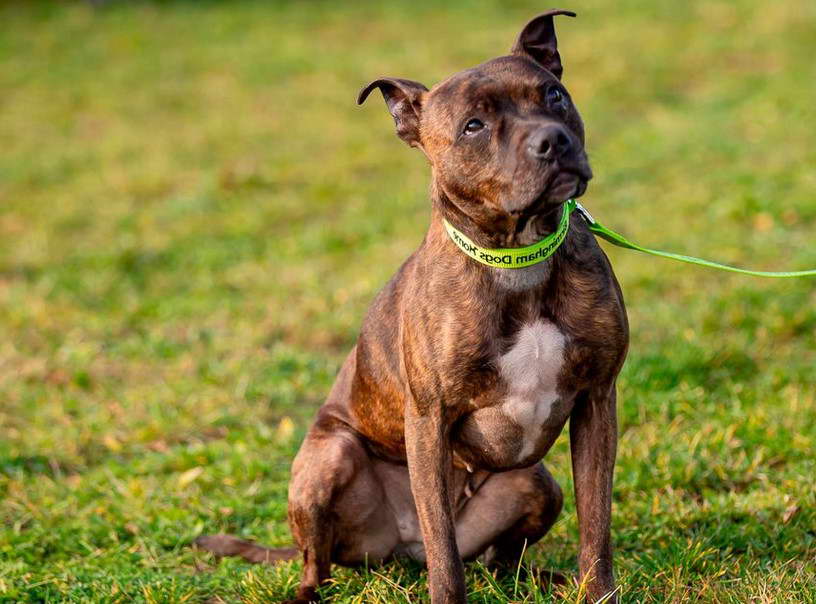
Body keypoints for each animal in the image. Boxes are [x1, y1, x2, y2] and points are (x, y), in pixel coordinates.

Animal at [196, 10, 624, 604]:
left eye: (554, 95)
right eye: (473, 126)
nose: (552, 140)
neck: (518, 257)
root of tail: (400, 546)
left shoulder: (597, 400)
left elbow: (596, 525)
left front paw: (595, 590)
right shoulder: (428, 422)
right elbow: (445, 551)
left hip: (537, 481)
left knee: (498, 560)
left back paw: (541, 577)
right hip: (329, 459)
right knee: (323, 561)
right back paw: (309, 590)